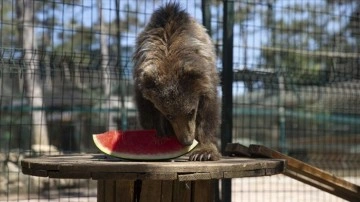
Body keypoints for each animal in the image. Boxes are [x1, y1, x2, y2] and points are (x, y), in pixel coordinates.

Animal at [134, 2, 221, 161]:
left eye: (191, 111)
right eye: (169, 115)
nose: (187, 141)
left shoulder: (206, 81)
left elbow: (208, 113)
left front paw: (204, 151)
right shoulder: (142, 85)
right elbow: (148, 113)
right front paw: (157, 138)